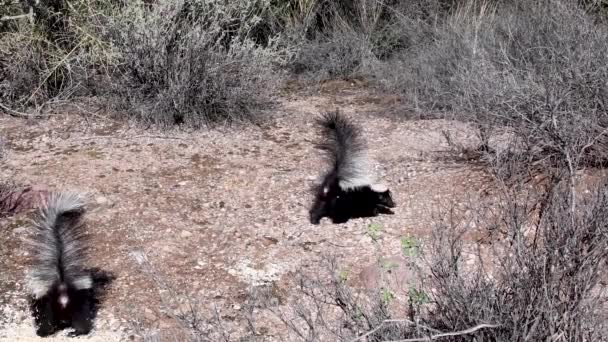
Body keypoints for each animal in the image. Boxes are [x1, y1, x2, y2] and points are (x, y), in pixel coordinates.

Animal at [25, 191, 94, 338]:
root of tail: (62, 286)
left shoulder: (39, 300)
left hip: (48, 304)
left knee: (46, 319)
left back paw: (43, 332)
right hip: (78, 300)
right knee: (81, 318)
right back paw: (75, 332)